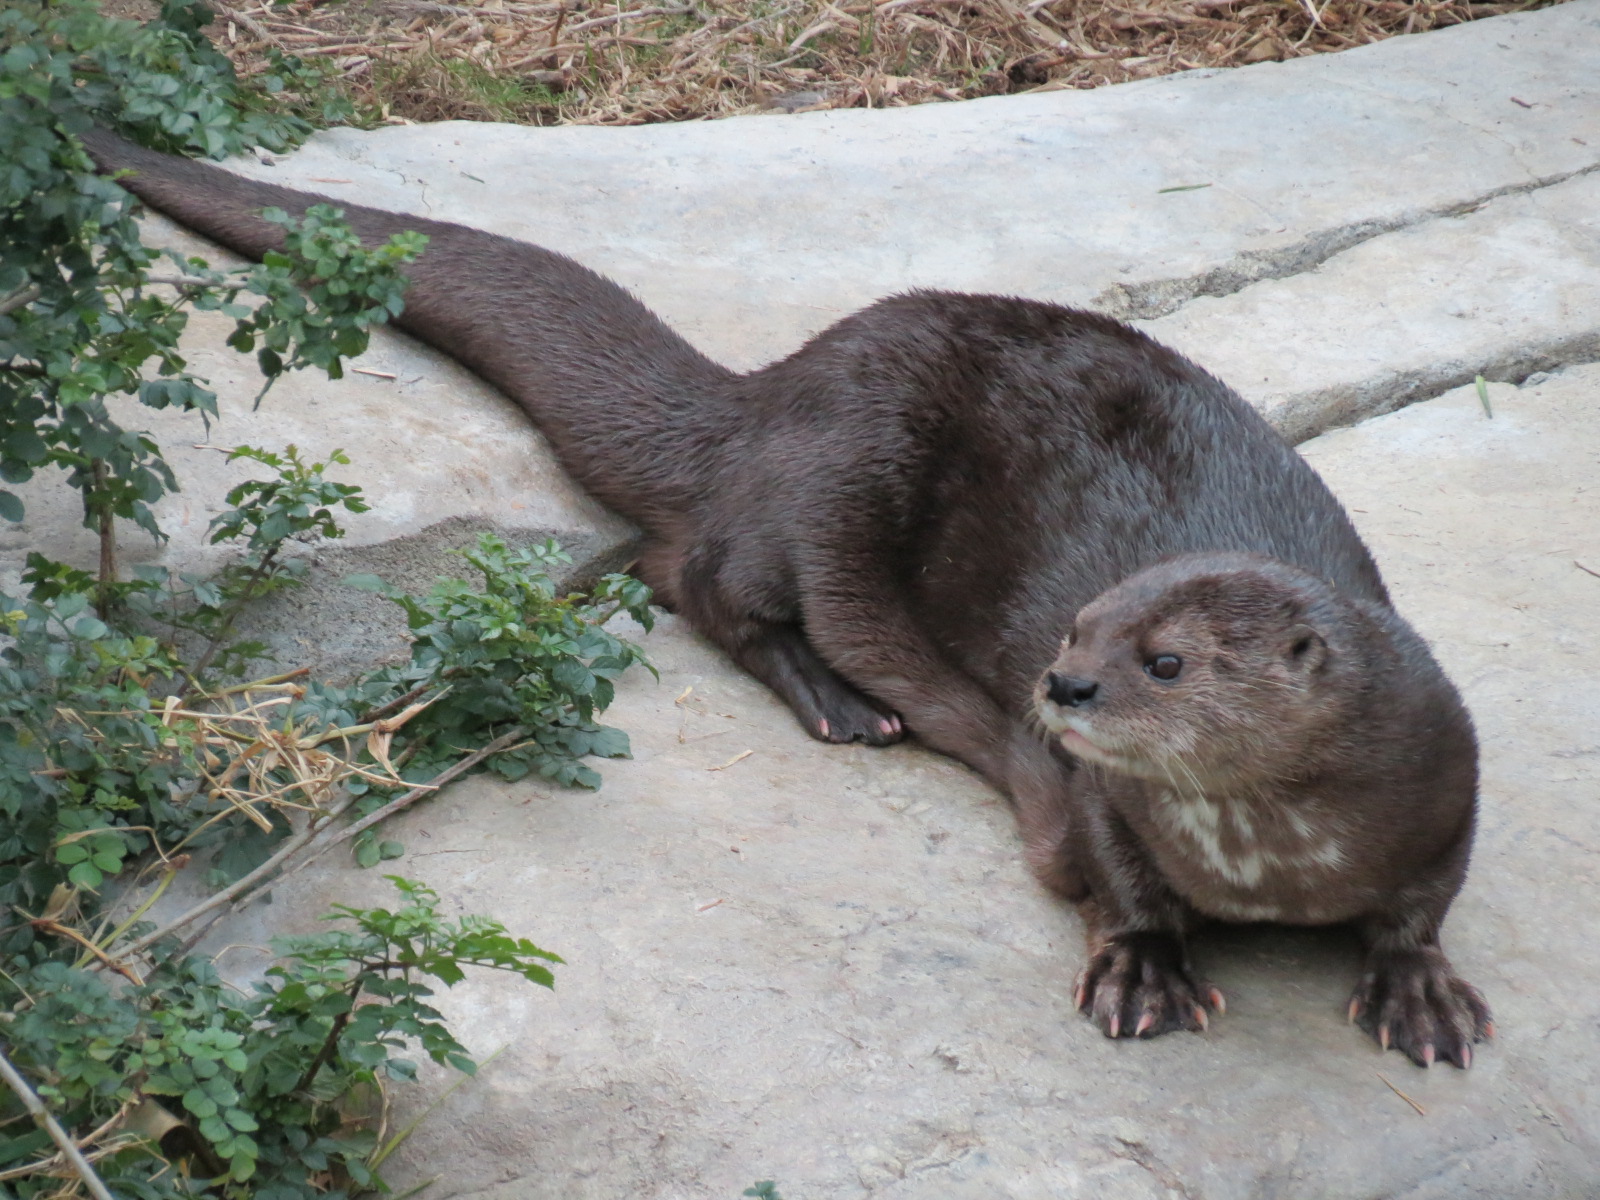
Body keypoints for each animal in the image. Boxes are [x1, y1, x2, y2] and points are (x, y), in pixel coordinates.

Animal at [76, 127, 1490, 1067]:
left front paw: (1416, 987)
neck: (1268, 862)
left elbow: (1421, 902)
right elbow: (1113, 877)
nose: (1063, 684)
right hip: (839, 468)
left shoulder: (1444, 778)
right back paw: (840, 701)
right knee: (700, 579)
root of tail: (777, 385)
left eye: (1169, 661)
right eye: (1079, 626)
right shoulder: (1089, 796)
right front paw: (1143, 968)